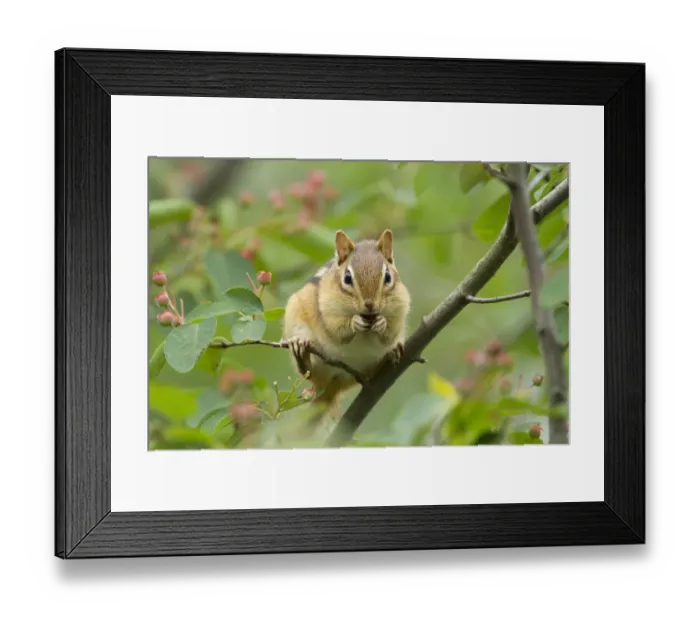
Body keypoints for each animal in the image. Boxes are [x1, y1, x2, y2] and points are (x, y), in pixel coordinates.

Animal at [282, 229, 411, 420]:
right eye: (348, 278)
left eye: (388, 277)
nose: (370, 305)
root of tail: (328, 386)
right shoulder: (327, 307)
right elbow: (338, 331)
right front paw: (354, 322)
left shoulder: (401, 307)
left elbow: (390, 333)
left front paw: (382, 325)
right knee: (309, 372)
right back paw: (301, 351)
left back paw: (393, 352)